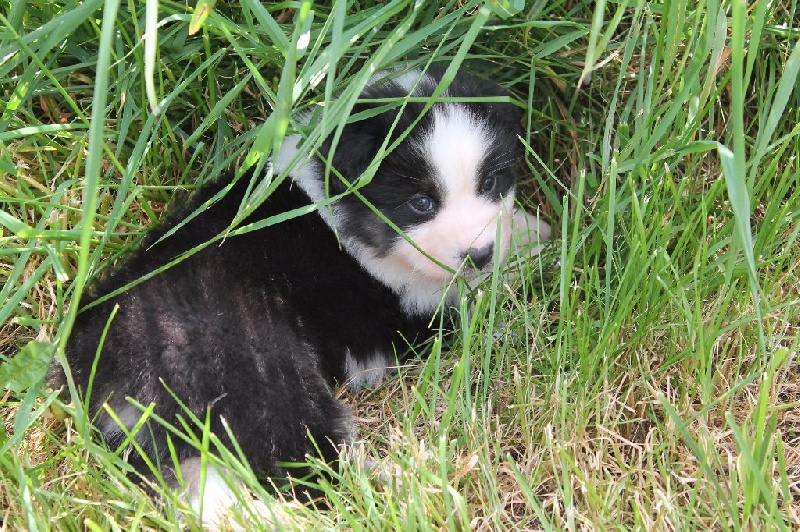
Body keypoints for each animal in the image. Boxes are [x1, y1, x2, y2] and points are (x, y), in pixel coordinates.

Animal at [56, 66, 551, 522]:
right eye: (421, 204)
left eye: (491, 183)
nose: (478, 254)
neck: (334, 197)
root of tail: (113, 378)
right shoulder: (404, 302)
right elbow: (474, 293)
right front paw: (537, 252)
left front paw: (535, 233)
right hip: (260, 372)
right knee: (308, 459)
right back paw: (400, 480)